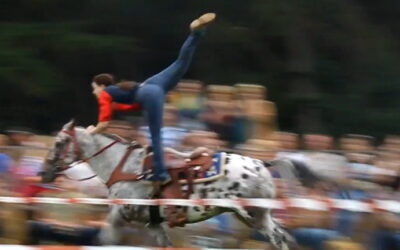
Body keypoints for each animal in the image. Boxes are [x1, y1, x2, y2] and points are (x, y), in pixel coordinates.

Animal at [41, 120, 300, 248]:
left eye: (59, 142)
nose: (44, 172)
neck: (123, 166)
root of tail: (262, 164)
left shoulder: (123, 213)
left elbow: (106, 240)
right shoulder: (154, 223)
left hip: (252, 214)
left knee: (278, 238)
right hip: (254, 215)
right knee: (281, 236)